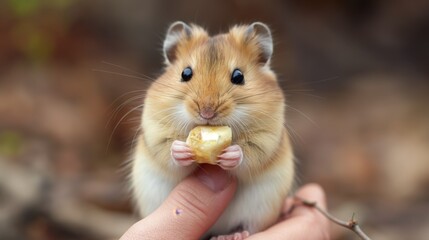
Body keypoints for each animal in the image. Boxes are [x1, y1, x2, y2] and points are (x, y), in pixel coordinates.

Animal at [130, 21, 294, 238]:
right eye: (185, 73)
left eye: (239, 76)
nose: (206, 112)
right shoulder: (155, 131)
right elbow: (169, 153)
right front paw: (181, 150)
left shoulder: (267, 138)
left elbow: (248, 154)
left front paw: (231, 154)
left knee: (247, 227)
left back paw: (233, 235)